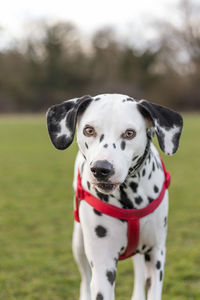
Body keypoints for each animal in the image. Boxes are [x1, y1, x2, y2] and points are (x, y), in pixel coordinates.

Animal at [47, 94, 183, 300]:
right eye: (89, 130)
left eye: (129, 133)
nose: (101, 169)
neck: (129, 195)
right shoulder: (103, 266)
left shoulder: (156, 255)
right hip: (78, 243)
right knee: (85, 280)